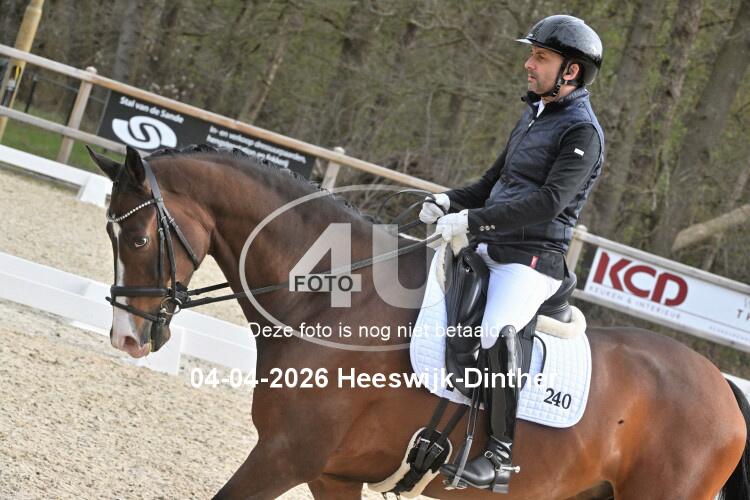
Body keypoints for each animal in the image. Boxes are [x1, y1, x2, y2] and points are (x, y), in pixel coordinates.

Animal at [89, 144, 750, 500]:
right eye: (111, 234)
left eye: (140, 237)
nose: (127, 337)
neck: (330, 299)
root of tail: (724, 388)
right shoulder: (331, 474)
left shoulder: (285, 456)